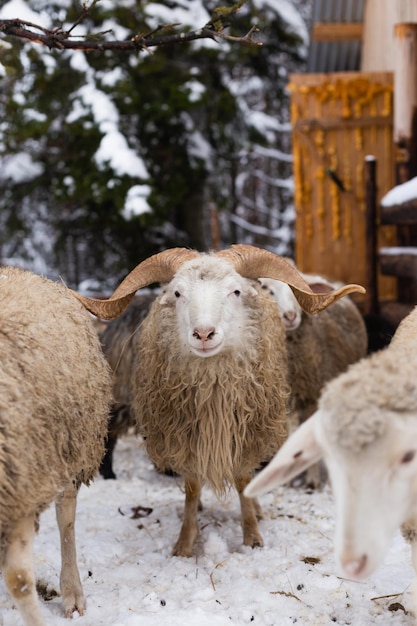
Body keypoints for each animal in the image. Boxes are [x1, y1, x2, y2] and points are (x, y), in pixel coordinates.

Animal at [72, 244, 364, 556]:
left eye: (236, 291)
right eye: (177, 293)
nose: (203, 334)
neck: (212, 392)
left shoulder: (248, 432)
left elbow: (243, 480)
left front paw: (252, 536)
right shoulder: (184, 436)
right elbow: (191, 487)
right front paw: (185, 543)